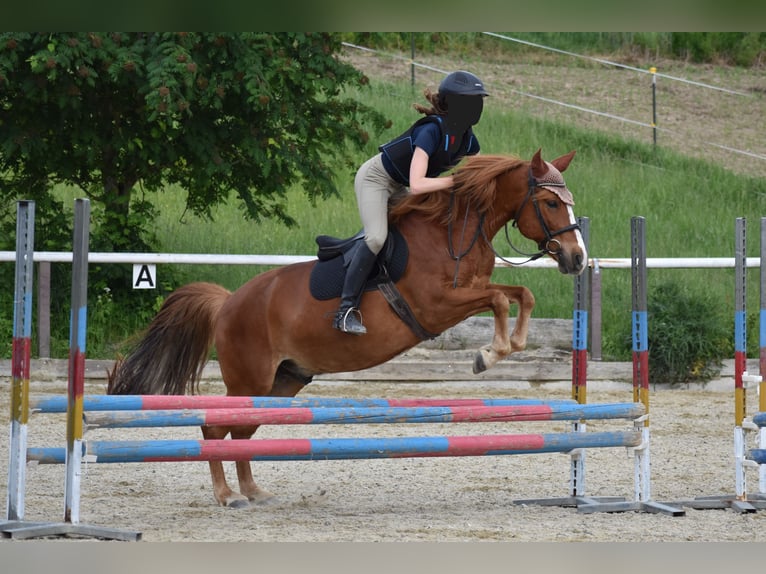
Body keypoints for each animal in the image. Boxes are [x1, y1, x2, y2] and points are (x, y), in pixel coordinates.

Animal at [108, 148, 588, 508]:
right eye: (550, 203)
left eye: (570, 202)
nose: (577, 258)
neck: (452, 232)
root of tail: (228, 302)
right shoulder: (438, 305)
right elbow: (499, 299)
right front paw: (489, 354)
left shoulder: (470, 290)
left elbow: (520, 293)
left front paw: (510, 345)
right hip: (249, 378)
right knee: (214, 429)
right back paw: (228, 495)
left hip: (283, 381)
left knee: (242, 432)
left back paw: (253, 491)